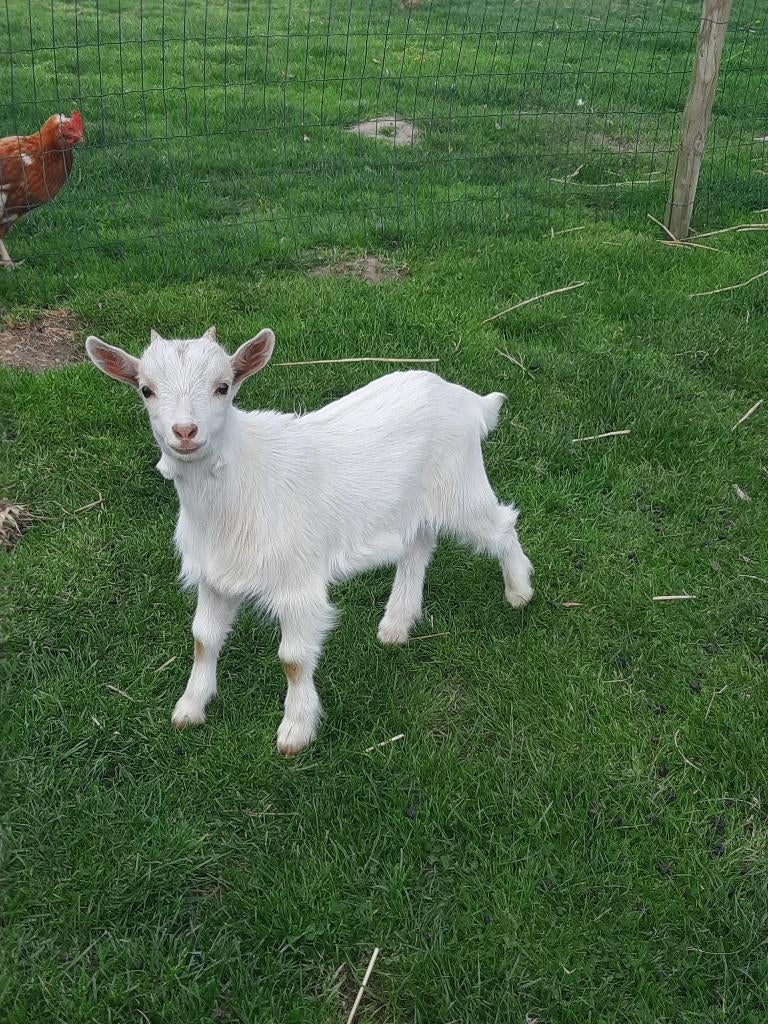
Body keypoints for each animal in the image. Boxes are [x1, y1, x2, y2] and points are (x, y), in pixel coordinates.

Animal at [85, 327, 534, 754]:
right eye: (146, 389)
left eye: (223, 386)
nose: (184, 431)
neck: (236, 487)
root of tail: (467, 399)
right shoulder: (214, 576)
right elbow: (203, 640)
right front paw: (189, 708)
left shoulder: (297, 584)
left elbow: (294, 660)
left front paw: (296, 731)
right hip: (409, 506)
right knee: (418, 546)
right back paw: (396, 624)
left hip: (462, 487)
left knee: (502, 525)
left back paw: (519, 591)